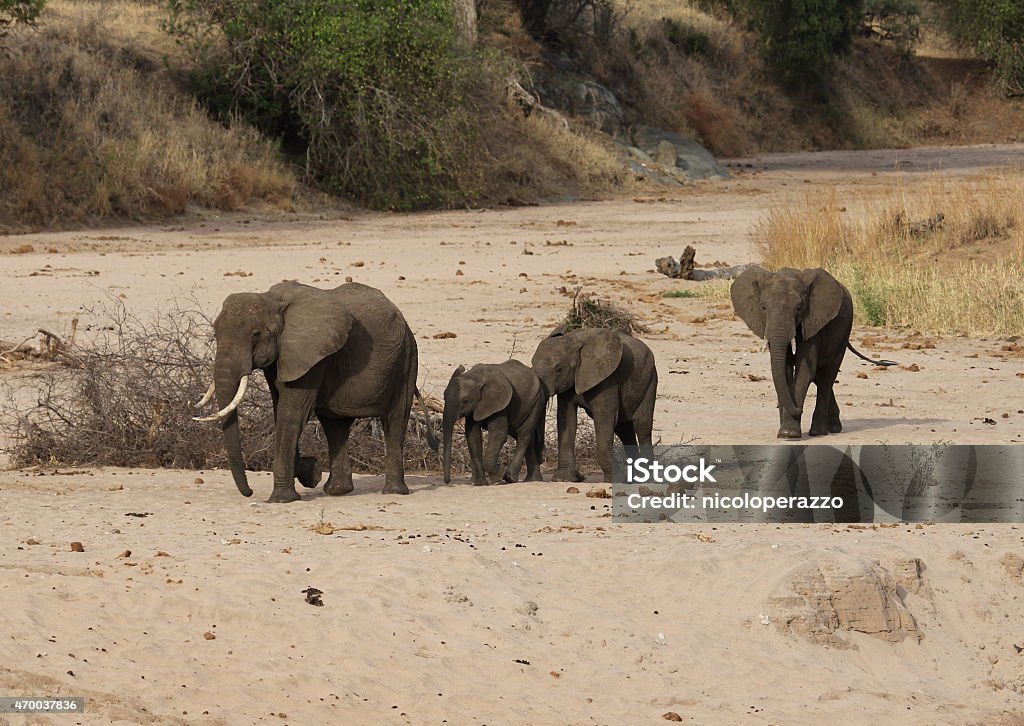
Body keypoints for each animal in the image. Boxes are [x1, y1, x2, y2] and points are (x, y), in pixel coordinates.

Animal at [194, 280, 436, 501]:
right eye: (215, 333)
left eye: (255, 334)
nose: (250, 492)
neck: (273, 301)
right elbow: (280, 410)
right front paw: (311, 473)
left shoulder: (311, 355)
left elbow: (291, 413)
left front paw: (283, 498)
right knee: (335, 426)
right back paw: (338, 491)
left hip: (405, 360)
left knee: (395, 419)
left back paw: (393, 492)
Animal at [528, 327, 655, 481]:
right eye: (532, 364)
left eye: (558, 368)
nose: (541, 459)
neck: (573, 341)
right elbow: (567, 419)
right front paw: (563, 480)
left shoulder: (607, 379)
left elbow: (604, 419)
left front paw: (615, 481)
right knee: (624, 430)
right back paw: (635, 478)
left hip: (650, 381)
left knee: (642, 428)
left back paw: (646, 478)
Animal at [729, 264, 888, 438]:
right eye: (763, 307)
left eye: (799, 308)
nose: (799, 410)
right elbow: (785, 371)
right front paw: (785, 432)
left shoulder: (813, 323)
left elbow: (804, 371)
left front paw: (789, 433)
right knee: (820, 377)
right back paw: (833, 427)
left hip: (845, 330)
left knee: (826, 377)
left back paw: (819, 431)